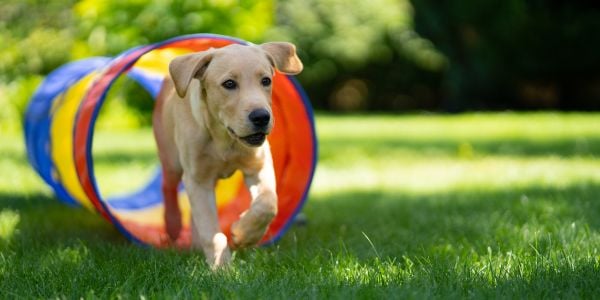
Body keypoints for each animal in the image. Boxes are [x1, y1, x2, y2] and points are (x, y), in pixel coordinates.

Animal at [154, 41, 304, 268]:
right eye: (229, 84)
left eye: (266, 81)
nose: (261, 117)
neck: (224, 138)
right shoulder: (197, 178)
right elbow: (211, 231)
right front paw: (221, 267)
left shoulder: (258, 167)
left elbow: (267, 204)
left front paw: (243, 234)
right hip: (171, 159)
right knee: (168, 187)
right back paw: (173, 225)